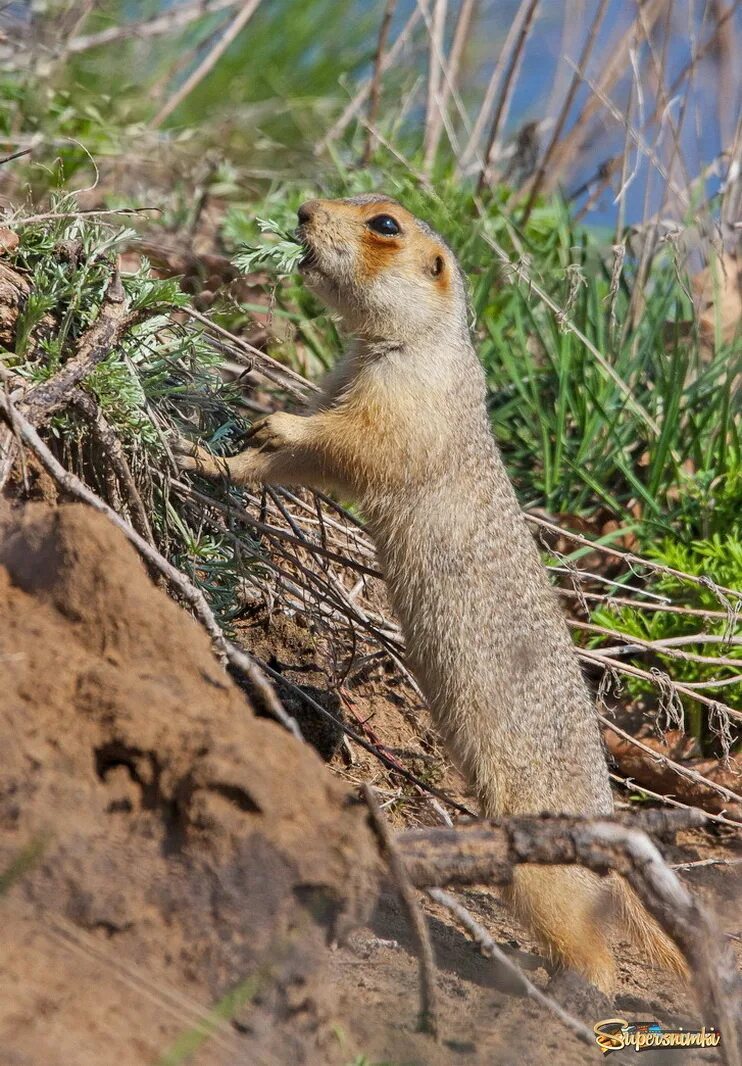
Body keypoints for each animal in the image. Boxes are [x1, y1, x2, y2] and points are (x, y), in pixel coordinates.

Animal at [176, 194, 686, 989]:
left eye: (385, 224)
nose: (304, 208)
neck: (401, 345)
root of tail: (609, 821)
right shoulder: (343, 377)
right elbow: (293, 460)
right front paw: (212, 453)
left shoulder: (403, 401)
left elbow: (352, 442)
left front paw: (273, 422)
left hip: (546, 872)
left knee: (592, 948)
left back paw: (561, 992)